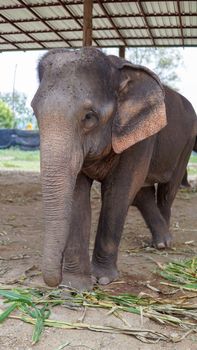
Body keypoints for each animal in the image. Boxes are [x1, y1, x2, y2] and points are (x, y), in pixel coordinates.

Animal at [30, 47, 197, 292]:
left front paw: (103, 279)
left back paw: (163, 244)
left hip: (186, 143)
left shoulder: (140, 136)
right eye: (34, 113)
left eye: (89, 116)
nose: (56, 280)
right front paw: (75, 285)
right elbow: (78, 194)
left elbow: (119, 191)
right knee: (144, 193)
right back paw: (158, 241)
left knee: (167, 191)